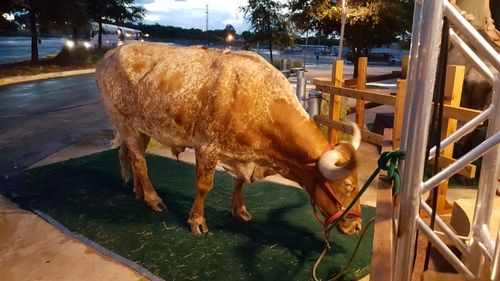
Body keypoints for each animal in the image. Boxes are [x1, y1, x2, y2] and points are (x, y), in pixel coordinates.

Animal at [95, 41, 362, 233]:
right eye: (348, 185)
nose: (357, 226)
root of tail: (112, 52)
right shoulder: (207, 147)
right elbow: (204, 186)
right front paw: (197, 220)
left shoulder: (240, 153)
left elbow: (239, 182)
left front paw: (239, 210)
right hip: (125, 122)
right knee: (139, 161)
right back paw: (152, 199)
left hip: (140, 128)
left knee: (132, 155)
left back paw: (138, 192)